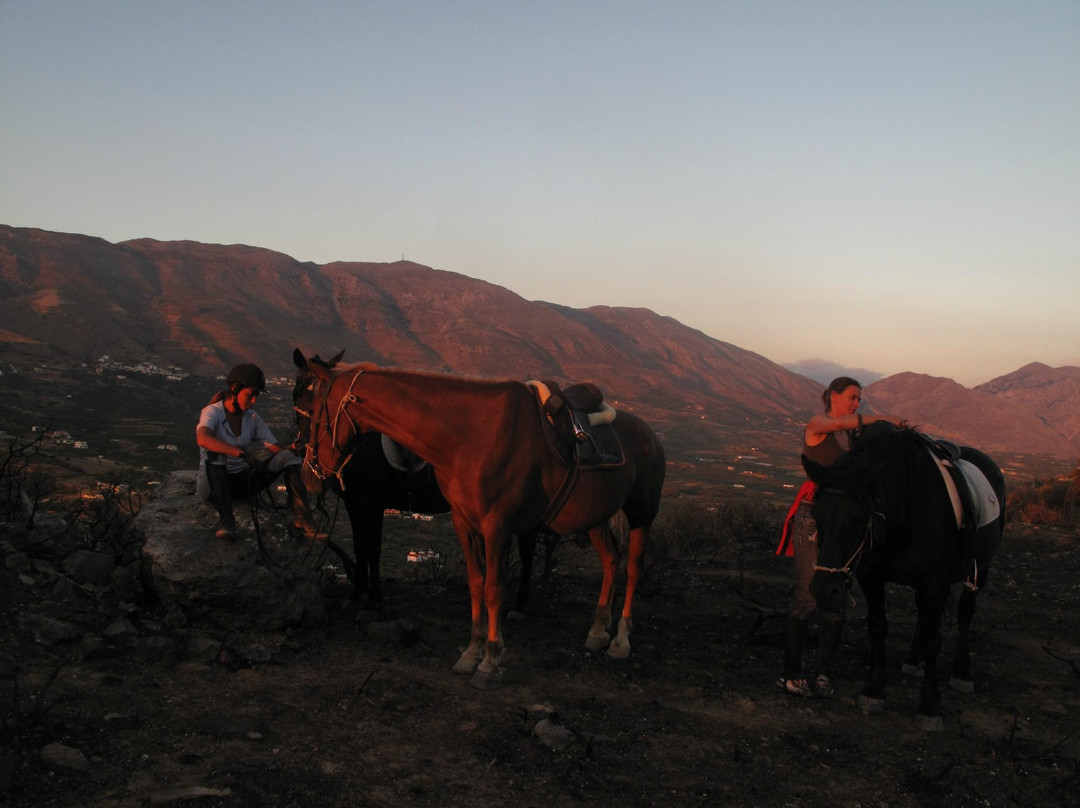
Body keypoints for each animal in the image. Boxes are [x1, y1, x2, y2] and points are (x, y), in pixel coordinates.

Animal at [290, 349, 544, 615]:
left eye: (316, 395)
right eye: (297, 392)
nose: (306, 449)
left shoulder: (372, 502)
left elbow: (373, 549)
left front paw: (374, 600)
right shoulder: (353, 503)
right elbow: (360, 547)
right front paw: (358, 593)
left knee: (527, 549)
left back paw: (520, 602)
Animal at [804, 421, 1005, 731]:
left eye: (860, 519)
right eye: (816, 514)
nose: (825, 590)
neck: (906, 510)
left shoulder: (936, 582)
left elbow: (934, 639)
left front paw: (930, 705)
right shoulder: (871, 576)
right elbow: (878, 627)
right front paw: (874, 690)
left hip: (979, 569)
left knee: (965, 612)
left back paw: (961, 672)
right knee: (922, 612)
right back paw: (914, 657)